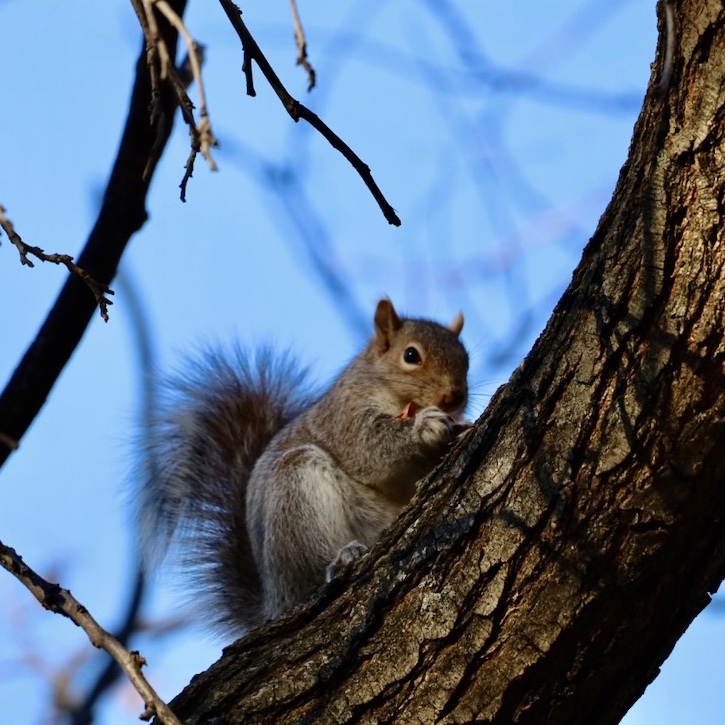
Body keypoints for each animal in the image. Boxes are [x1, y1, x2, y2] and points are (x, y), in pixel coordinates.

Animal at [137, 299, 470, 638]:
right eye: (411, 355)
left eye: (466, 359)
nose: (453, 396)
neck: (394, 395)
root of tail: (273, 599)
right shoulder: (346, 418)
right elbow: (373, 449)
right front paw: (424, 427)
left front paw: (460, 427)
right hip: (296, 495)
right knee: (310, 576)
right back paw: (338, 562)